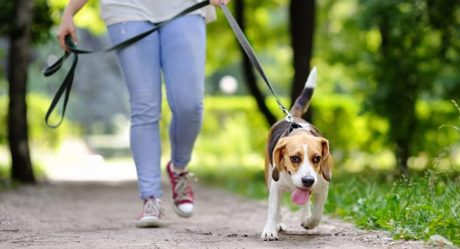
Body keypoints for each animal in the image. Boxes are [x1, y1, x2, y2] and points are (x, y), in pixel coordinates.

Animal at [260, 68, 332, 241]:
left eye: (317, 158)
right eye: (294, 158)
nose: (308, 180)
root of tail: (292, 117)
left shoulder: (323, 186)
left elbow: (317, 213)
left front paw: (309, 222)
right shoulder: (276, 187)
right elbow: (273, 209)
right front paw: (270, 230)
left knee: (306, 203)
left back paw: (305, 216)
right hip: (270, 178)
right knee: (279, 206)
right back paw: (279, 224)